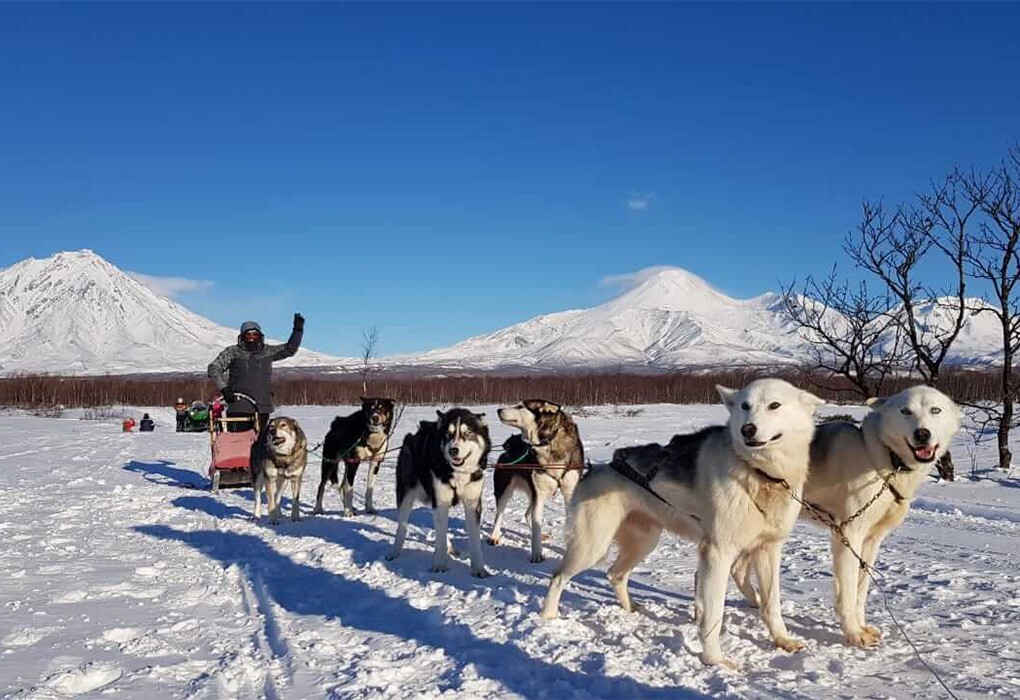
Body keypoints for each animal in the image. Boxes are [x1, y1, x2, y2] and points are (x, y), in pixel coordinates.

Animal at [383, 408, 491, 579]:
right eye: (448, 434)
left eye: (467, 433)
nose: (453, 450)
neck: (458, 474)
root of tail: (415, 434)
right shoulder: (440, 501)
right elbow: (439, 537)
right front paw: (439, 565)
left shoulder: (473, 504)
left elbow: (474, 538)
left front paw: (479, 568)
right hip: (406, 495)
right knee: (402, 526)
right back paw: (394, 552)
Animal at [489, 400, 587, 563]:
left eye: (520, 406)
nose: (498, 410)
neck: (548, 442)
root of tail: (507, 448)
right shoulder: (539, 495)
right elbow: (536, 526)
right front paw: (536, 554)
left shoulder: (568, 494)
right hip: (505, 492)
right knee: (499, 515)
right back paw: (494, 536)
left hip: (534, 494)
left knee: (527, 514)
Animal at [538, 377, 824, 669]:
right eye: (745, 405)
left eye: (774, 405)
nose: (748, 429)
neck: (759, 475)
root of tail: (597, 468)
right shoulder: (718, 553)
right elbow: (713, 613)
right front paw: (715, 660)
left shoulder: (768, 550)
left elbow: (771, 604)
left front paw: (782, 640)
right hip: (593, 545)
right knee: (558, 576)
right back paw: (547, 617)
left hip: (643, 542)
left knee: (615, 574)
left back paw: (630, 609)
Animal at [730, 385, 958, 648]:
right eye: (906, 411)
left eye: (935, 410)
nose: (922, 434)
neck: (881, 457)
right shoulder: (848, 534)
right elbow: (848, 592)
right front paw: (853, 633)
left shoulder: (871, 541)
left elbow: (860, 590)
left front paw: (861, 626)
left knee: (737, 569)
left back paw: (757, 601)